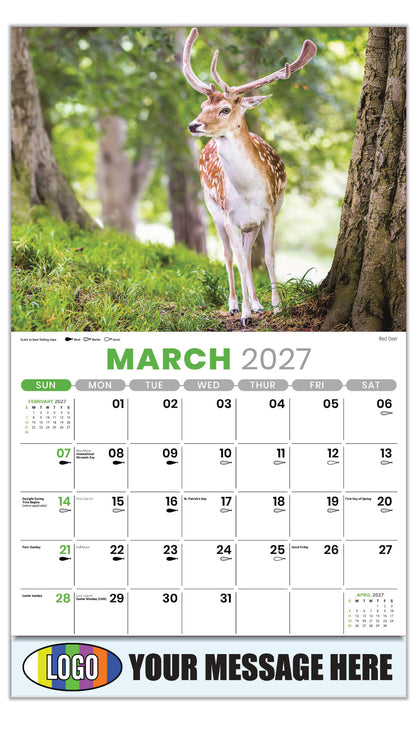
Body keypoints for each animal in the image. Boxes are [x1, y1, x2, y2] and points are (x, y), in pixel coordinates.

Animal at [183, 28, 317, 325]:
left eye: (225, 109)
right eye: (202, 104)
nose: (194, 125)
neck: (246, 191)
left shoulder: (269, 212)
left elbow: (268, 257)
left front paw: (276, 306)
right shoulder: (229, 216)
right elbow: (240, 261)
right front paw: (243, 313)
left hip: (251, 224)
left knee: (245, 251)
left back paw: (256, 303)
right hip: (214, 212)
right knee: (229, 255)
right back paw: (235, 304)